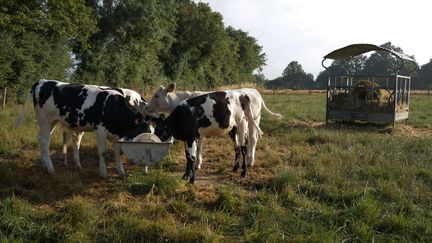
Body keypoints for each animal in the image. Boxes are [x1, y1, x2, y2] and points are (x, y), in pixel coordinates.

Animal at [15, 79, 154, 178]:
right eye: (142, 139)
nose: (147, 168)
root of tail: (43, 81)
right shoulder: (101, 130)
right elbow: (102, 152)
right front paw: (103, 173)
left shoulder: (117, 135)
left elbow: (117, 152)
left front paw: (121, 172)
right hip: (44, 119)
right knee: (44, 141)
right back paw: (50, 168)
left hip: (52, 122)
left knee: (41, 138)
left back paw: (44, 165)